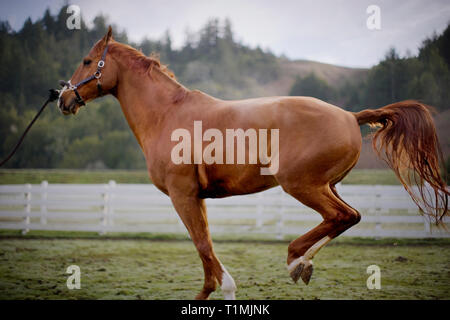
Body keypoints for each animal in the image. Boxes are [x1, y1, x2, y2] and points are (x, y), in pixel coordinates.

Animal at [59, 28, 446, 300]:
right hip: (327, 185)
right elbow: (205, 244)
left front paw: (226, 288)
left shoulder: (182, 196)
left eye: (87, 61)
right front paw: (209, 291)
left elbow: (203, 245)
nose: (62, 98)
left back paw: (296, 261)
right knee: (347, 217)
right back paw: (302, 263)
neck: (167, 114)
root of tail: (351, 116)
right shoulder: (196, 198)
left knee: (342, 216)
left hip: (302, 185)